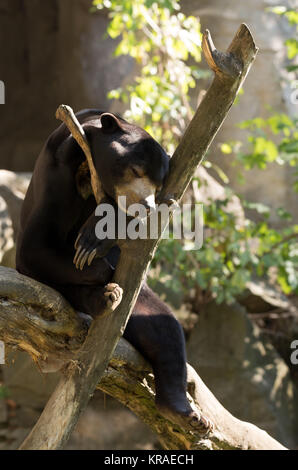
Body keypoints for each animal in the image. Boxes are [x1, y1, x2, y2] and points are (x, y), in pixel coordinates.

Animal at [15, 108, 210, 432]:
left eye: (158, 186)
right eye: (136, 171)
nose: (145, 204)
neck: (86, 169)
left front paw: (96, 236)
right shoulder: (57, 172)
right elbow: (36, 245)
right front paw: (95, 262)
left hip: (141, 306)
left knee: (165, 327)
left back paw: (184, 412)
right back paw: (104, 297)